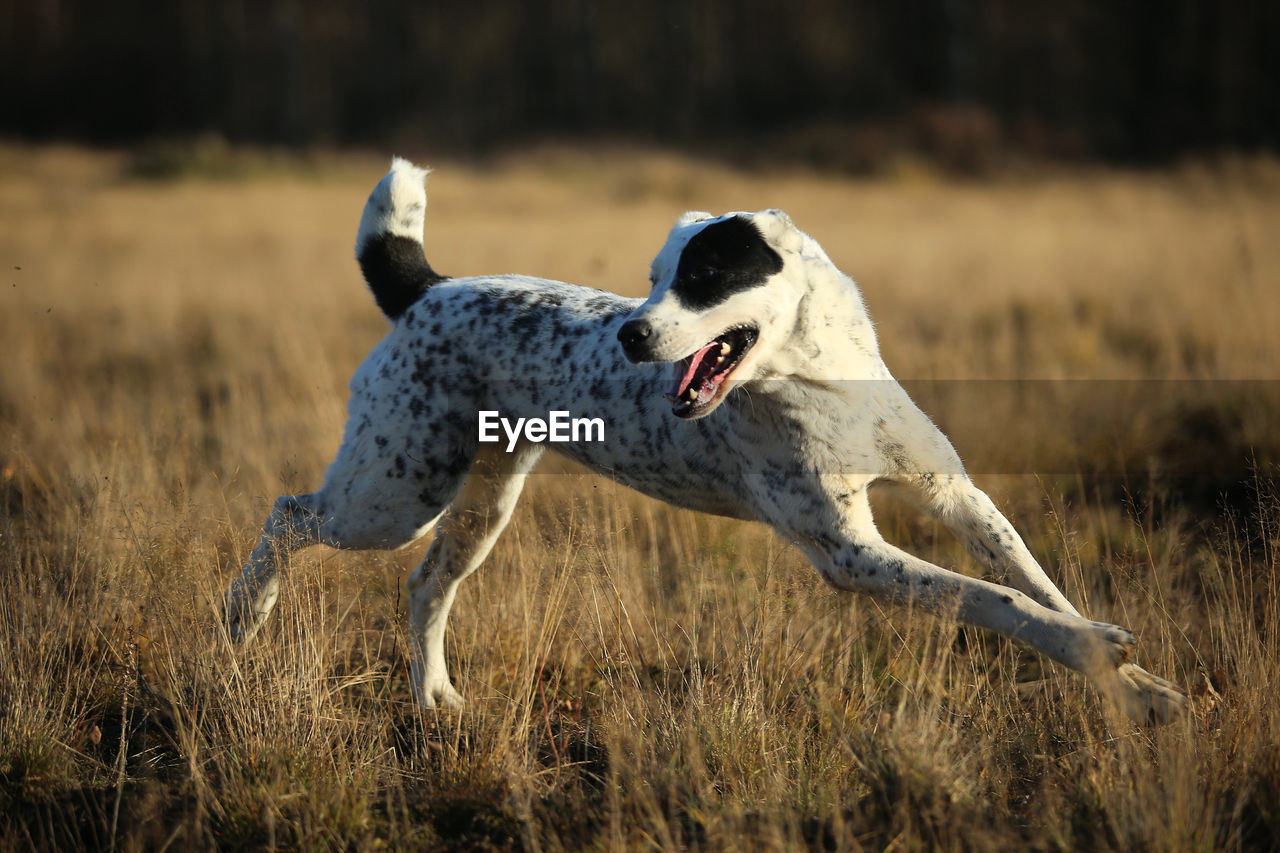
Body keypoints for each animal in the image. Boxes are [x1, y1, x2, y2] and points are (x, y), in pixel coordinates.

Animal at [227, 156, 1187, 722]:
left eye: (706, 274)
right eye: (652, 278)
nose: (630, 335)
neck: (822, 380)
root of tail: (430, 288)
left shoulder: (956, 493)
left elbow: (1038, 585)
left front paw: (1135, 687)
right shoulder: (850, 551)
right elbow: (993, 600)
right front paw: (1099, 653)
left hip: (477, 504)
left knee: (426, 586)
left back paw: (434, 700)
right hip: (394, 493)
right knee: (288, 513)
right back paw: (245, 617)